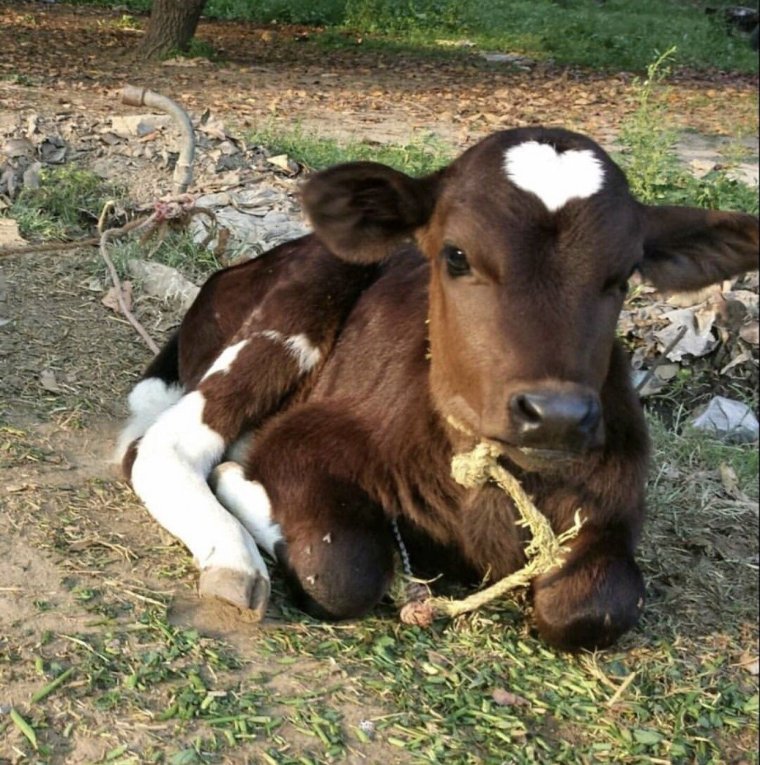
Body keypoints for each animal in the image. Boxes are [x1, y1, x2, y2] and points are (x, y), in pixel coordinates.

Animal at [116, 127, 759, 651]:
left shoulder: (617, 504)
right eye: (456, 255)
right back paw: (233, 556)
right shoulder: (306, 440)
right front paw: (245, 489)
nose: (555, 415)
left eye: (623, 277)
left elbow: (591, 606)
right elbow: (342, 567)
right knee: (161, 447)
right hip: (304, 297)